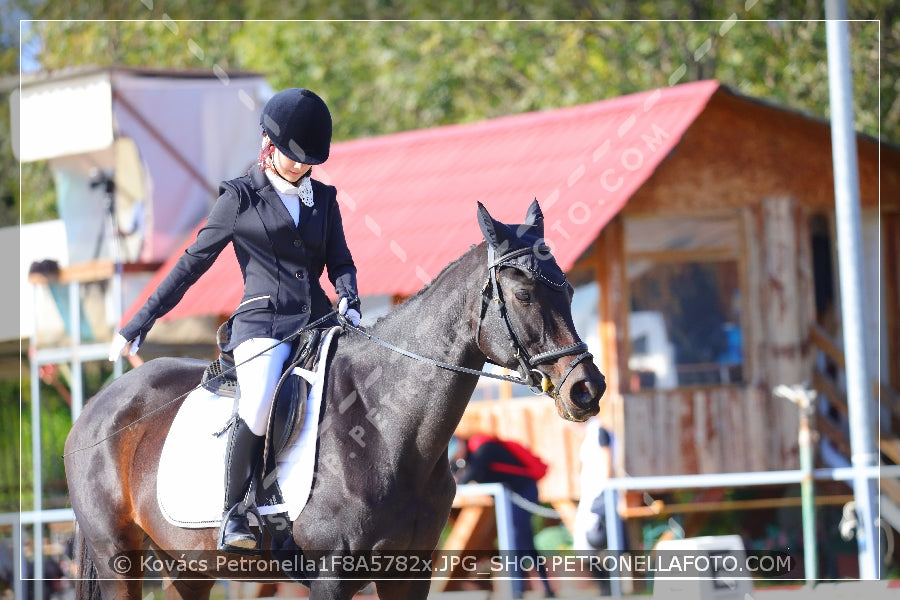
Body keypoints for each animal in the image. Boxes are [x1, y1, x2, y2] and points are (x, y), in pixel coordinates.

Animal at [63, 199, 604, 596]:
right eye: (525, 296)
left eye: (570, 290)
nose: (587, 389)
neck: (388, 426)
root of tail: (96, 407)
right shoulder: (330, 576)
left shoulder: (409, 573)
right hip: (119, 560)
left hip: (188, 568)